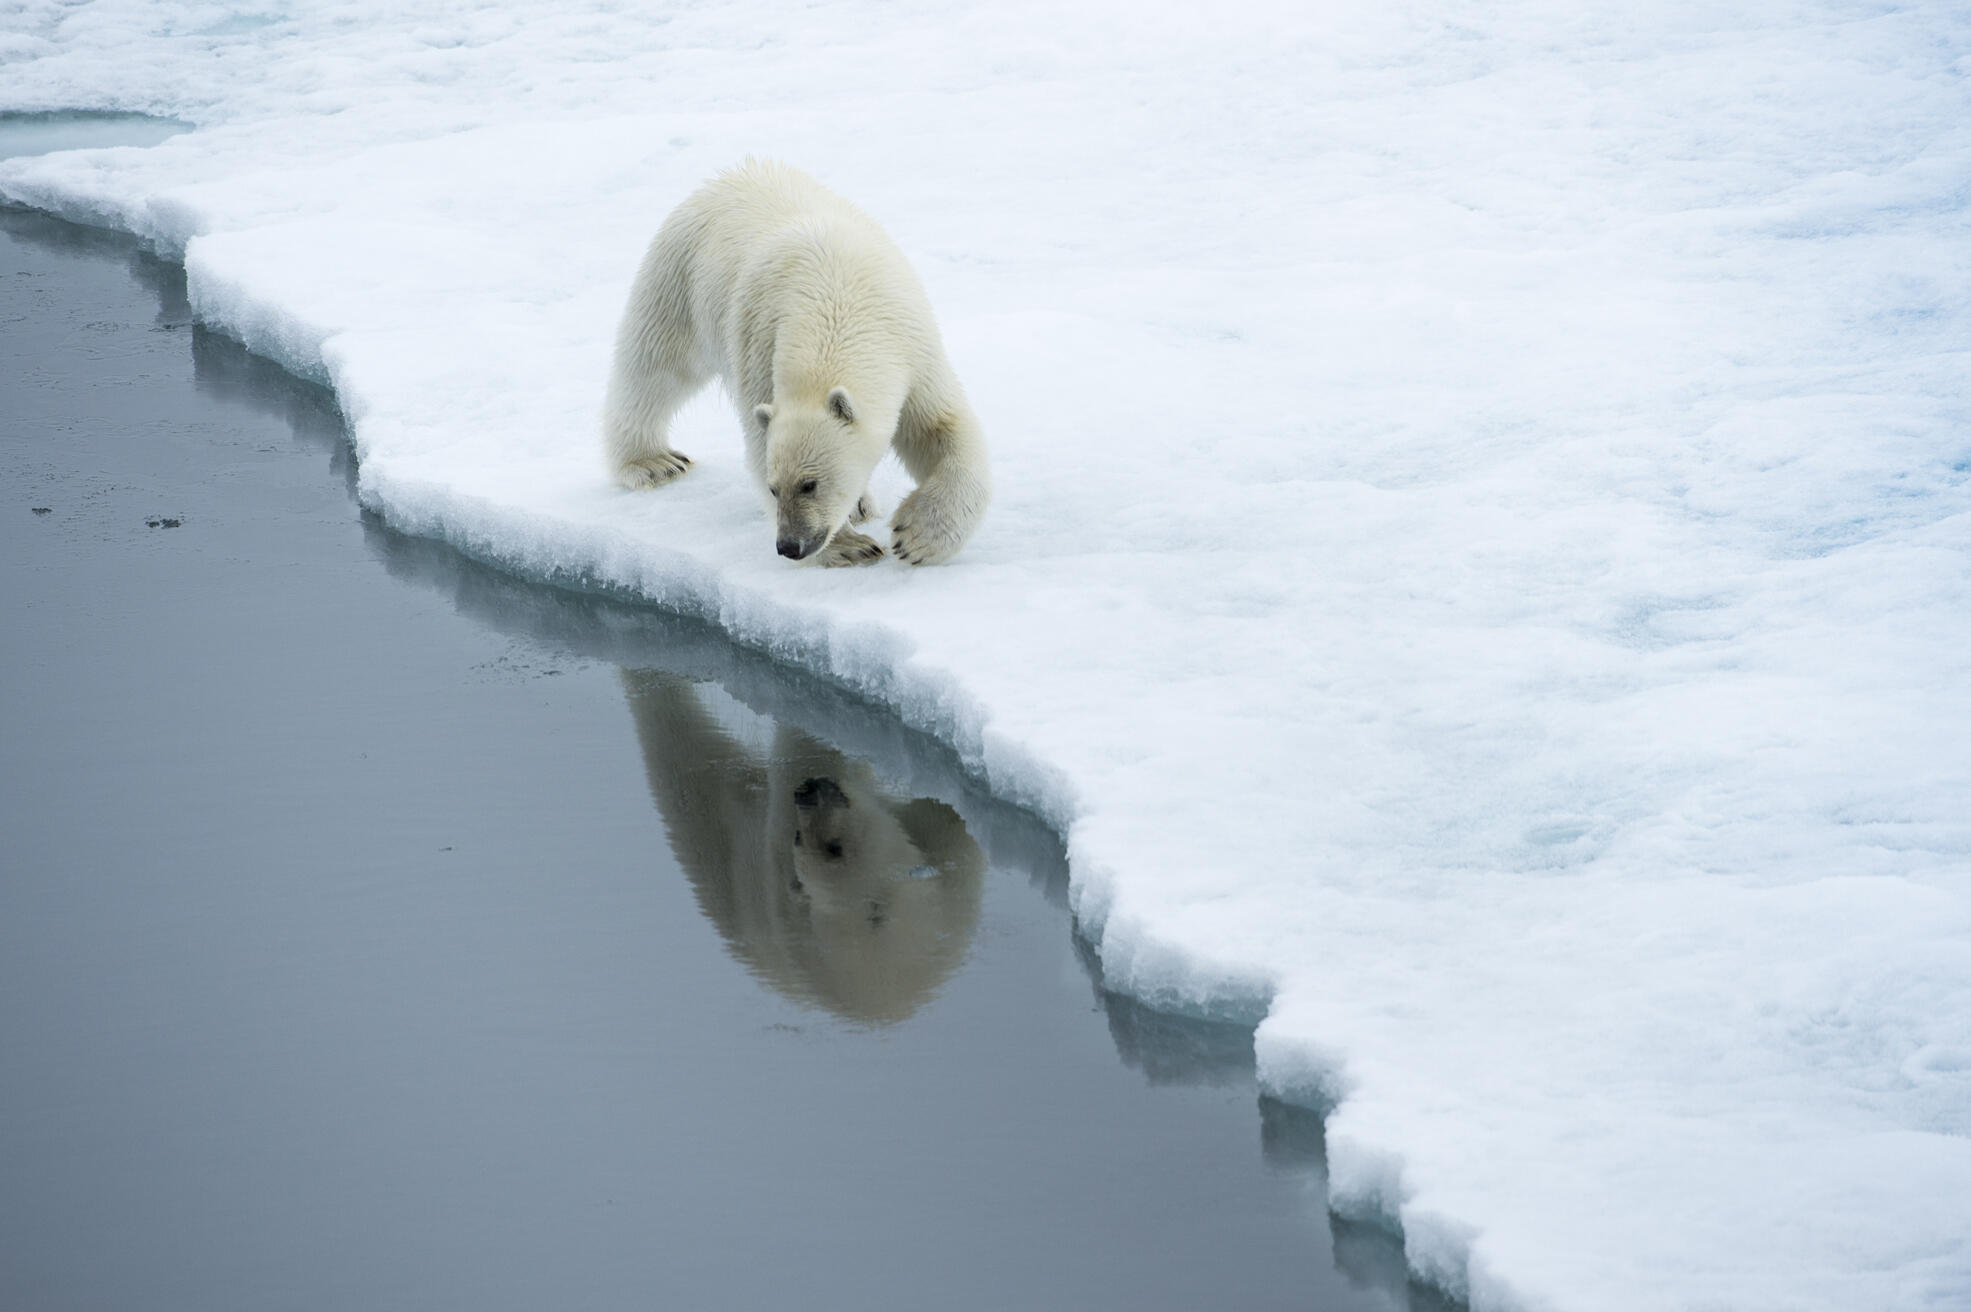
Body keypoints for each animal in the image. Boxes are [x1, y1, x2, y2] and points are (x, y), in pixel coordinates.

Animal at [603, 159, 991, 566]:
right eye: (774, 489)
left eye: (810, 484)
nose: (790, 546)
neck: (836, 303)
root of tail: (732, 174)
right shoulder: (762, 347)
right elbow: (760, 440)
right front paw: (851, 546)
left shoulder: (912, 348)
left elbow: (941, 427)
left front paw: (917, 536)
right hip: (680, 275)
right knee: (655, 366)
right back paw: (654, 463)